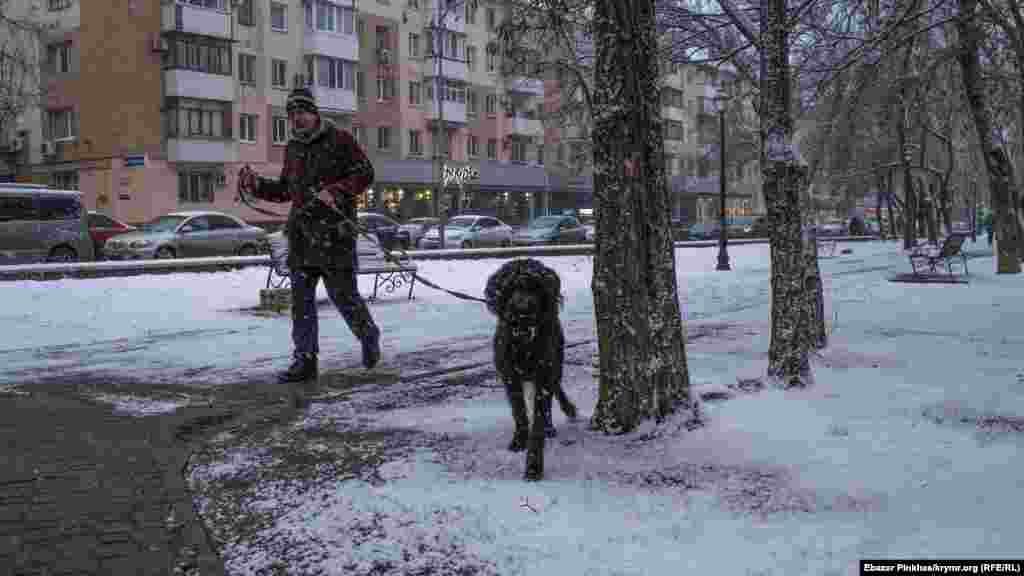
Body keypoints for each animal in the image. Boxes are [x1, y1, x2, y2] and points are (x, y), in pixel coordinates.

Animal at [485, 258, 577, 477]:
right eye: (511, 286)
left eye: (535, 286)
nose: (522, 310)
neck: (524, 339)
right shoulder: (510, 376)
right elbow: (519, 411)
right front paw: (519, 439)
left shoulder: (544, 373)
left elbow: (539, 420)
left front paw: (534, 465)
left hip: (555, 364)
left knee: (555, 391)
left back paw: (556, 421)